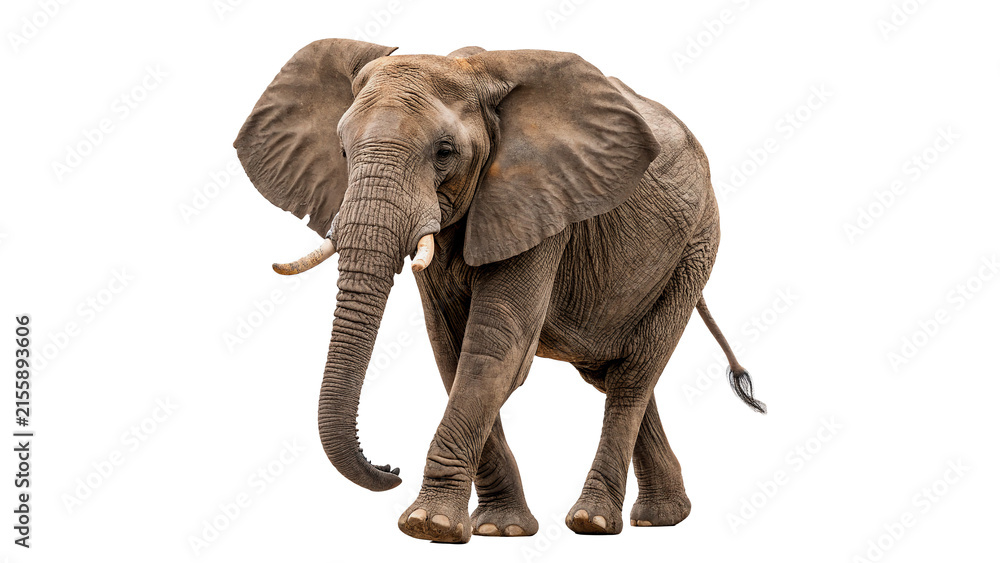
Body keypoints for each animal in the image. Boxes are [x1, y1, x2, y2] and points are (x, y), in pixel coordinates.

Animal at [233, 38, 765, 544]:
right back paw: (662, 518)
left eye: (444, 152)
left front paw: (428, 525)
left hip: (694, 248)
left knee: (635, 373)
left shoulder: (541, 201)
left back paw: (594, 520)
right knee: (613, 373)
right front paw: (497, 529)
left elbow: (495, 345)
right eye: (343, 152)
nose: (390, 467)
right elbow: (450, 348)